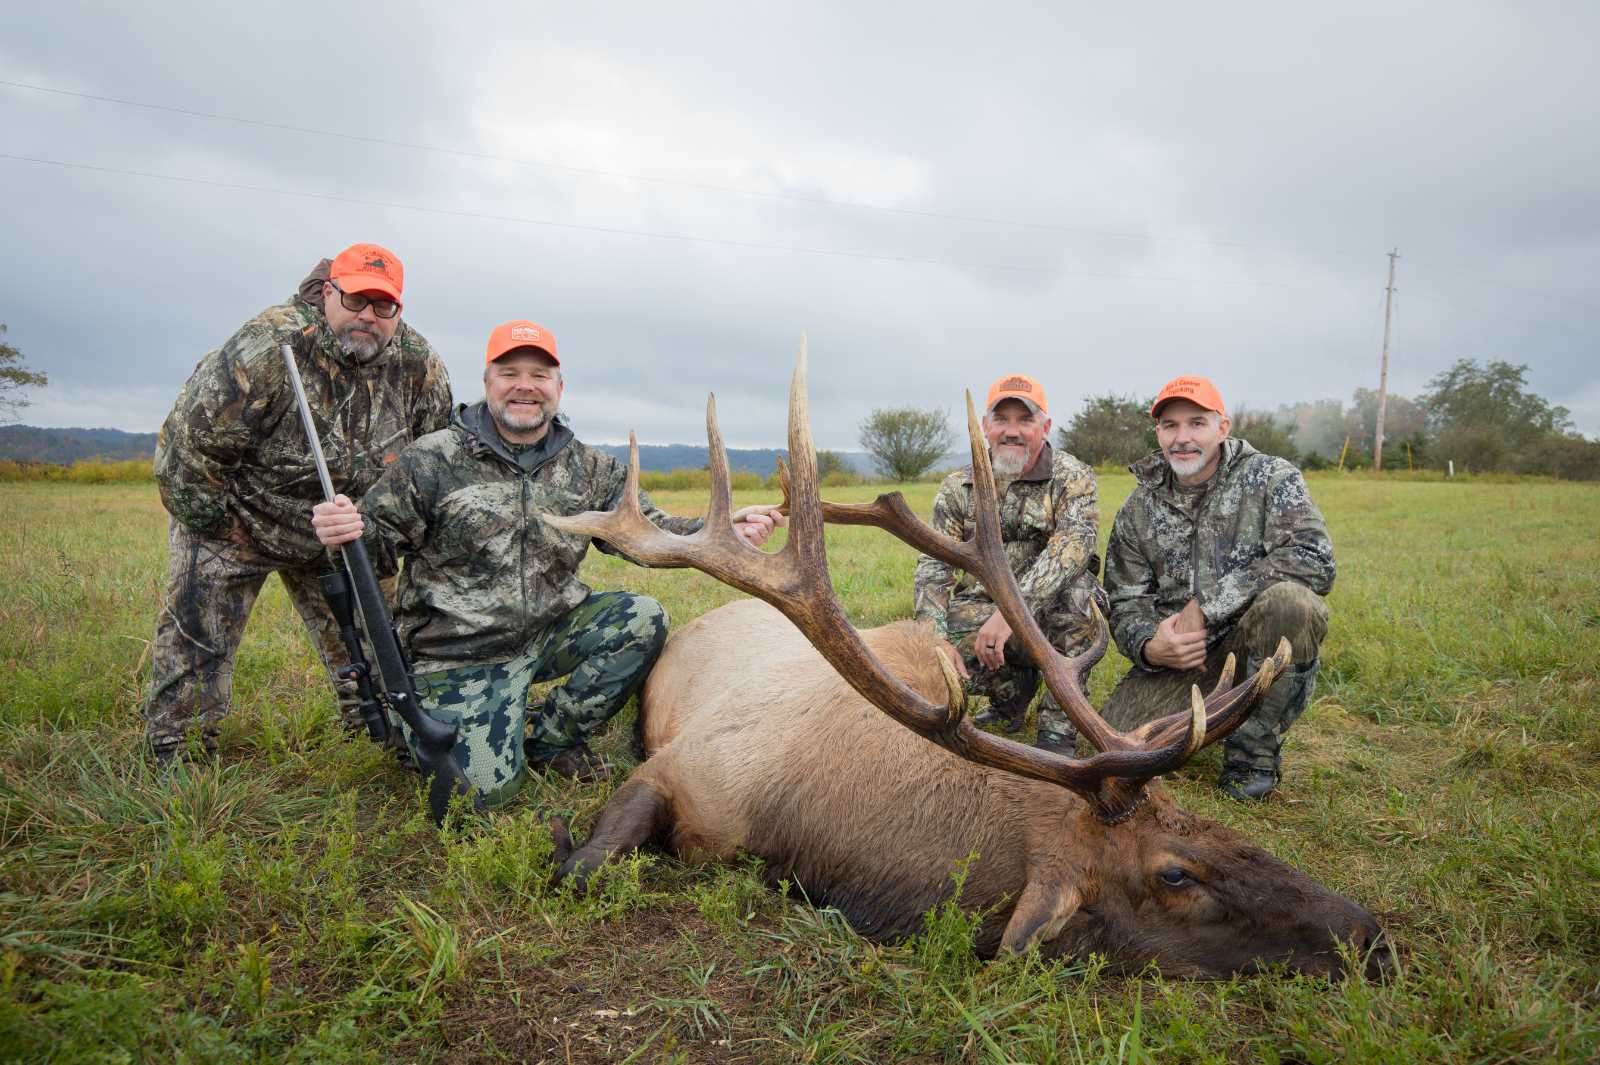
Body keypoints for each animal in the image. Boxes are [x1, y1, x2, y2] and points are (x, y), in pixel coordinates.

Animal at [547, 342, 1388, 978]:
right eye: (1174, 871)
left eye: (1203, 818)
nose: (1368, 932)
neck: (802, 826)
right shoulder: (683, 767)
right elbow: (583, 869)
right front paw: (563, 841)